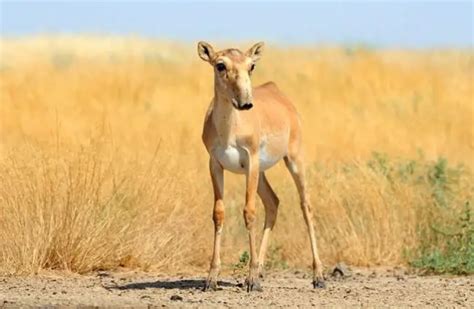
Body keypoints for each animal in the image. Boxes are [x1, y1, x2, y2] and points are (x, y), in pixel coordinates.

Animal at [197, 41, 326, 292]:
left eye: (251, 66)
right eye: (220, 65)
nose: (246, 103)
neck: (229, 130)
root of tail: (278, 91)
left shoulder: (251, 162)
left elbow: (249, 212)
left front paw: (252, 280)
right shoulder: (215, 164)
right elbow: (218, 213)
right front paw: (211, 279)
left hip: (293, 161)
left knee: (306, 207)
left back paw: (318, 277)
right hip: (263, 174)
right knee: (273, 202)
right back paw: (260, 269)